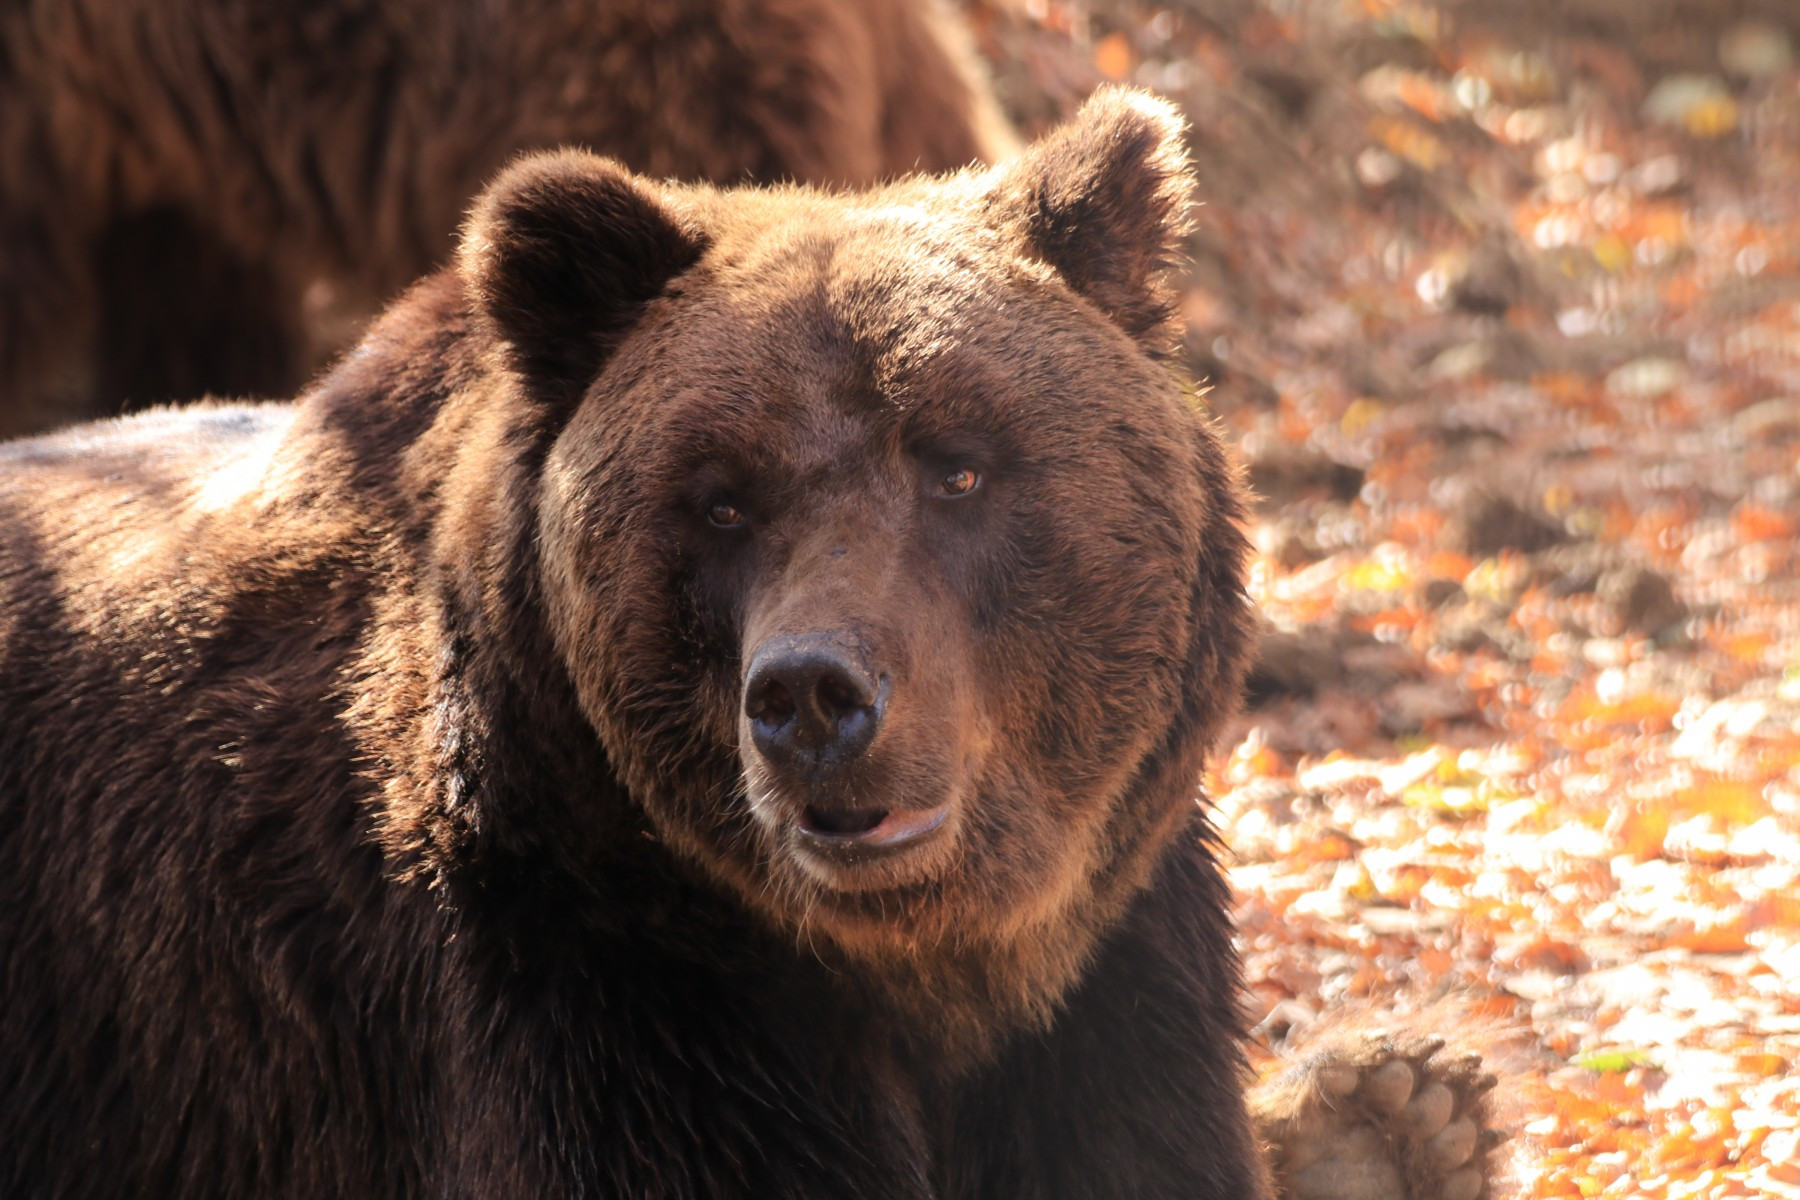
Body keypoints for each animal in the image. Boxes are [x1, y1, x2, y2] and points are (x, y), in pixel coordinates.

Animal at [0, 89, 1490, 1194]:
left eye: (956, 464)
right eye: (721, 499)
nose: (813, 694)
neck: (921, 972)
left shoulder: (1111, 972)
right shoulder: (598, 991)